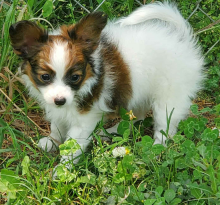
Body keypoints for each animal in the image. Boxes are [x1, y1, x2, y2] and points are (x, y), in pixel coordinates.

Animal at [9, 2, 205, 167]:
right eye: (45, 77)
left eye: (75, 77)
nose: (60, 100)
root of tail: (182, 39)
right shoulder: (58, 109)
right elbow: (57, 127)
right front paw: (52, 142)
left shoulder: (84, 121)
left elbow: (72, 147)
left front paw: (63, 170)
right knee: (138, 117)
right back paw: (109, 132)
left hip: (168, 100)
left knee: (165, 128)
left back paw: (156, 150)